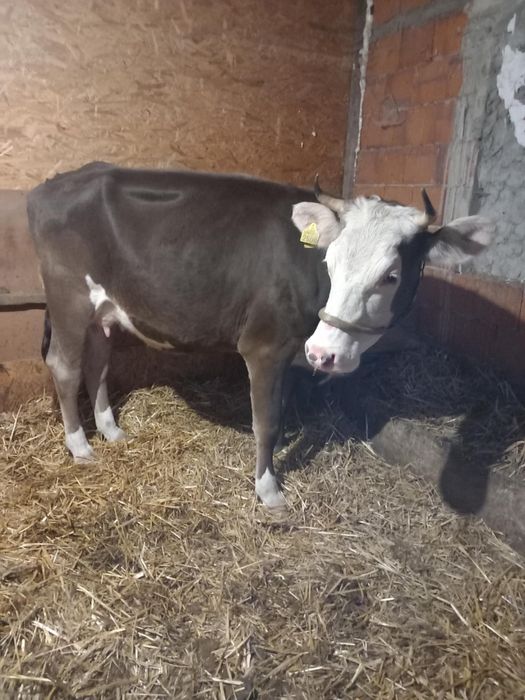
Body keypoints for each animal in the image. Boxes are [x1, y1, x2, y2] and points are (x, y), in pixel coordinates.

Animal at [27, 162, 494, 508]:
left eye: (391, 276)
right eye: (330, 261)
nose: (324, 352)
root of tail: (54, 183)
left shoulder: (291, 353)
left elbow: (282, 411)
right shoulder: (265, 346)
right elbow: (265, 421)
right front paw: (268, 490)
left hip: (102, 308)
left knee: (97, 363)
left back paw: (110, 430)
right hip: (69, 296)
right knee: (64, 367)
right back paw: (80, 447)